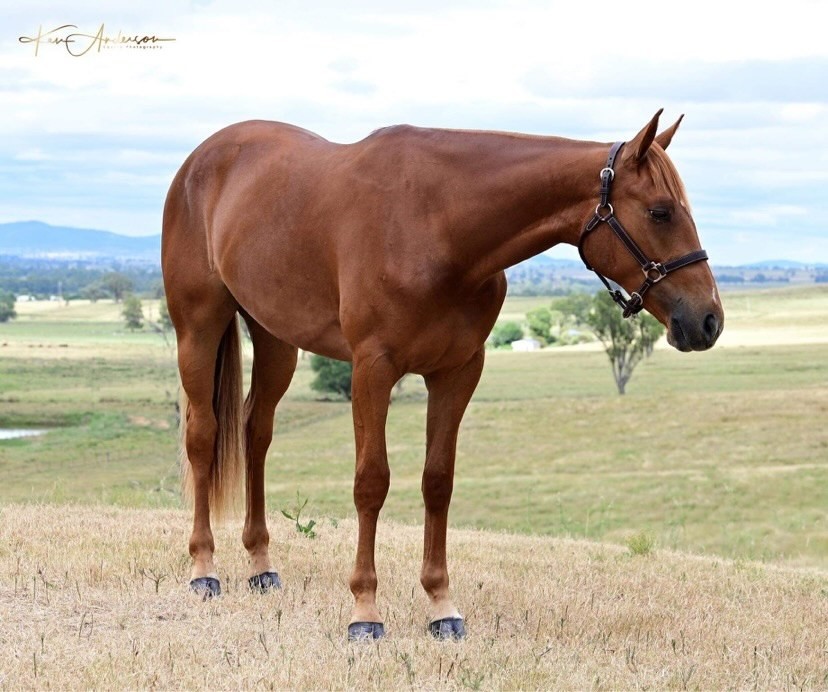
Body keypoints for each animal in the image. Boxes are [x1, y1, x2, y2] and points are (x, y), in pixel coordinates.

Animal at [161, 109, 723, 641]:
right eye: (660, 211)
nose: (708, 320)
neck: (438, 225)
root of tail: (200, 160)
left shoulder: (457, 372)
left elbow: (438, 482)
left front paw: (441, 606)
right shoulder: (372, 369)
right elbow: (372, 482)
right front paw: (365, 611)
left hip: (276, 338)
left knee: (255, 434)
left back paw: (261, 564)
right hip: (199, 328)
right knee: (203, 436)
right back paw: (204, 569)